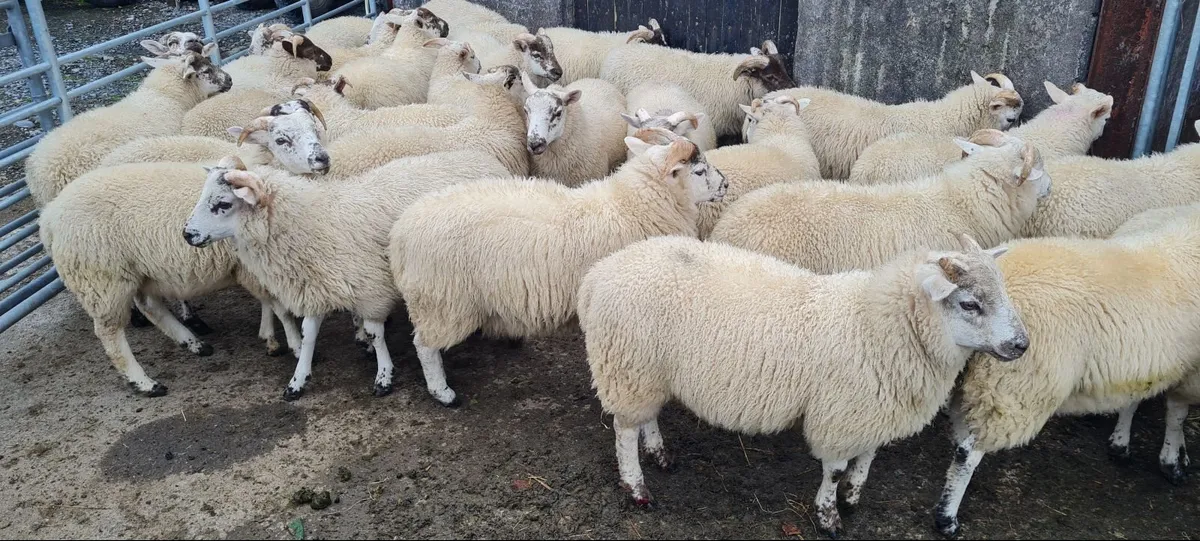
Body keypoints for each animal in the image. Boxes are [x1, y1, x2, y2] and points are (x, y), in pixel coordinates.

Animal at [38, 157, 309, 396]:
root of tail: (48, 219)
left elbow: (268, 303)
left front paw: (270, 336)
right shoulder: (253, 268)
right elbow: (279, 307)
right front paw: (292, 343)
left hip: (140, 272)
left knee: (151, 308)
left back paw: (193, 343)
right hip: (102, 279)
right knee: (110, 333)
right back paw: (146, 383)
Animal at [182, 150, 512, 400]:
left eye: (222, 204)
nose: (187, 234)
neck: (312, 222)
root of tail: (482, 158)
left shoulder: (371, 288)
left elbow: (376, 334)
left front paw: (384, 375)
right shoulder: (316, 285)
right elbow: (308, 334)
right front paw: (297, 381)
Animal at [388, 128, 727, 406]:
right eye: (699, 170)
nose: (725, 183)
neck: (632, 207)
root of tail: (400, 233)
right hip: (442, 301)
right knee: (424, 346)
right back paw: (442, 392)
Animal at [577, 232, 1028, 536]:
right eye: (969, 304)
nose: (1021, 345)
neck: (875, 325)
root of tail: (598, 274)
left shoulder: (873, 409)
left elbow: (868, 457)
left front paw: (852, 497)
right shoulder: (841, 414)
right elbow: (835, 469)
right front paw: (829, 516)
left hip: (646, 371)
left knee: (645, 417)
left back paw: (659, 453)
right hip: (627, 364)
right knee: (623, 430)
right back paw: (637, 488)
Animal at [933, 204, 1200, 537]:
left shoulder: (1147, 363)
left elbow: (1137, 398)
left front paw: (1123, 443)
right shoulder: (1190, 374)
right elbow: (1177, 414)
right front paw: (1172, 460)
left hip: (979, 385)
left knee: (959, 435)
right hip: (1015, 388)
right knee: (967, 452)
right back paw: (946, 518)